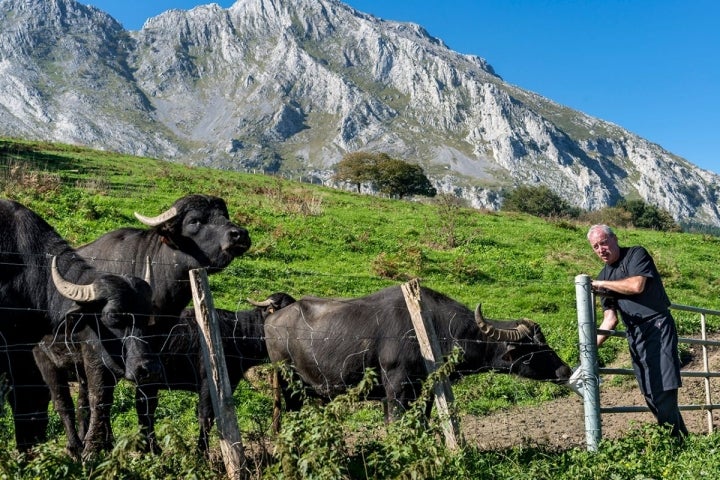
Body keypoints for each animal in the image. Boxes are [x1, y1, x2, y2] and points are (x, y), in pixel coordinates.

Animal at [0, 199, 159, 454]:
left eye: (147, 318)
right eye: (112, 316)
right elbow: (62, 401)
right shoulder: (36, 357)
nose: (148, 368)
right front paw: (79, 448)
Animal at [138, 290, 296, 452]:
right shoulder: (208, 384)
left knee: (146, 411)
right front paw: (202, 451)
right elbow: (206, 417)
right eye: (282, 311)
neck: (238, 332)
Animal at [266, 284, 572, 424]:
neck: (433, 329)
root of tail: (273, 317)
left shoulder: (426, 391)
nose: (565, 370)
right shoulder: (396, 389)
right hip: (287, 382)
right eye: (533, 346)